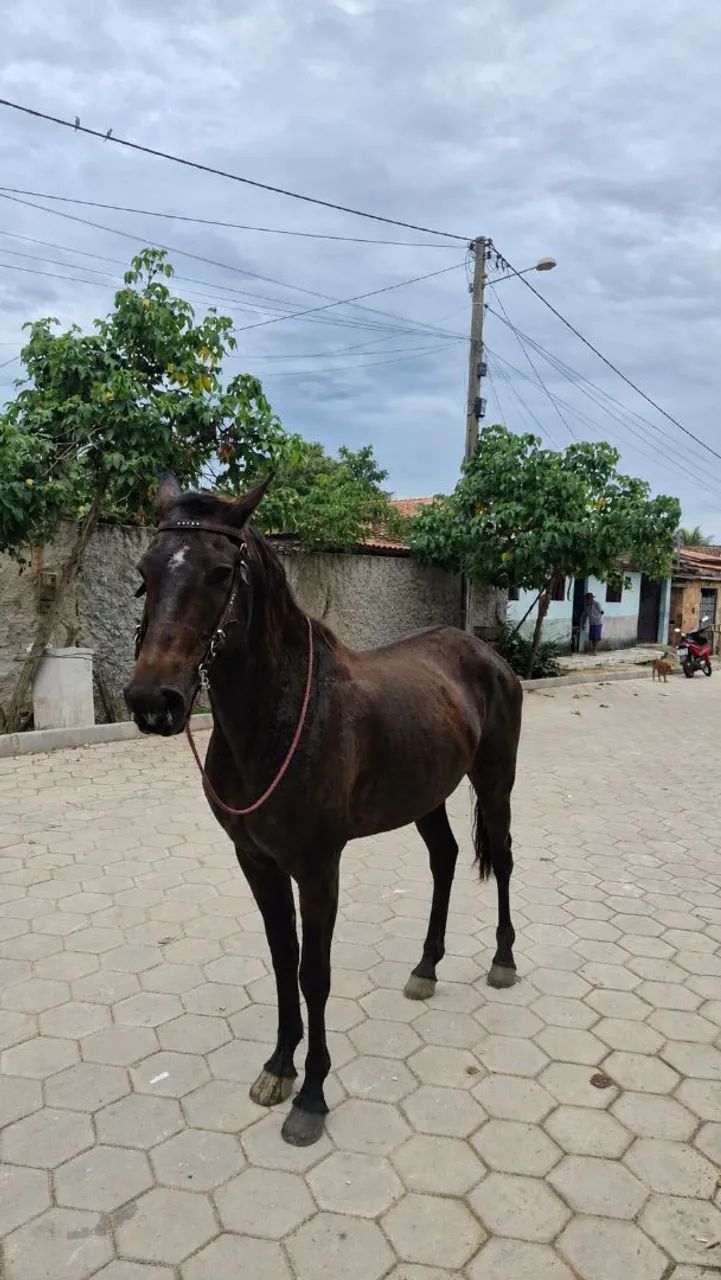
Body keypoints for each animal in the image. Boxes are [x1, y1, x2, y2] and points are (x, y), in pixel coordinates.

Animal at [124, 474, 523, 1146]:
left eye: (221, 572)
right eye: (145, 572)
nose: (155, 701)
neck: (279, 718)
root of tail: (488, 655)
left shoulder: (317, 867)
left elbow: (315, 972)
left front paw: (311, 1095)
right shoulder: (256, 862)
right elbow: (283, 961)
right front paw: (279, 1068)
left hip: (495, 783)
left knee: (505, 861)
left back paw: (503, 959)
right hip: (427, 793)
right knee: (444, 859)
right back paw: (426, 967)